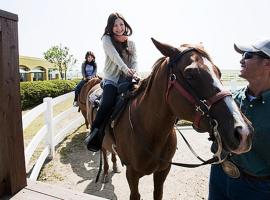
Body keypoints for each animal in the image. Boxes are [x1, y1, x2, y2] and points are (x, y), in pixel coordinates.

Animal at [85, 38, 252, 199]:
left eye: (218, 72)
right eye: (190, 74)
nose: (243, 132)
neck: (150, 131)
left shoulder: (163, 171)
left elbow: (158, 193)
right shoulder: (132, 174)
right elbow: (135, 195)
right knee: (103, 152)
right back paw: (105, 173)